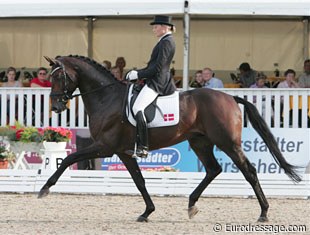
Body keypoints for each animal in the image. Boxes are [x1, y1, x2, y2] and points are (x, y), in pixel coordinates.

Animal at [38, 55, 300, 222]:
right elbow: (139, 181)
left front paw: (44, 189)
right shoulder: (123, 151)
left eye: (59, 77)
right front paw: (147, 212)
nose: (56, 106)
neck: (106, 97)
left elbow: (68, 159)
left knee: (249, 171)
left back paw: (264, 212)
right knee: (213, 169)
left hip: (228, 143)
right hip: (200, 142)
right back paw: (192, 205)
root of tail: (230, 98)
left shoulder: (104, 147)